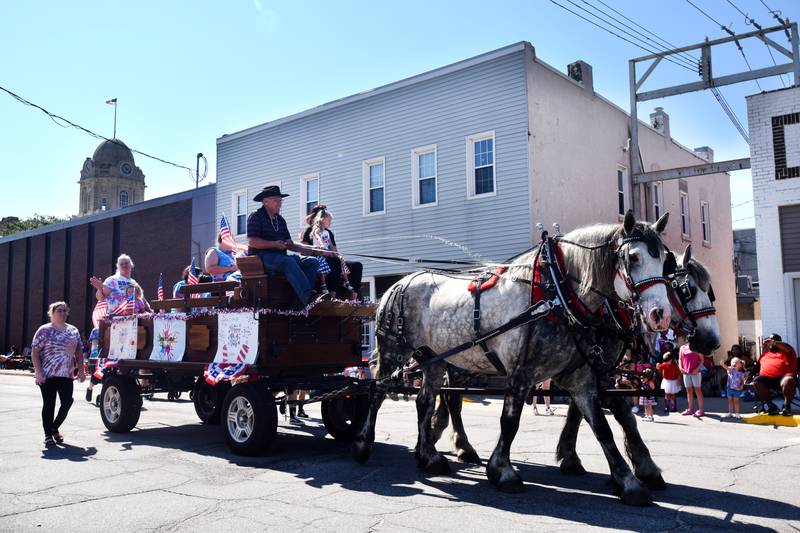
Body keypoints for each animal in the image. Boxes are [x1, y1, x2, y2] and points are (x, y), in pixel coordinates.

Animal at [354, 211, 672, 502]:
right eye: (633, 257)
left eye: (665, 261)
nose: (661, 314)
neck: (555, 294)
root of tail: (397, 284)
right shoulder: (522, 373)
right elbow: (510, 421)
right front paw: (503, 471)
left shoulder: (582, 377)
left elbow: (602, 426)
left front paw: (629, 480)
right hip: (394, 351)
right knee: (378, 392)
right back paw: (363, 445)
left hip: (434, 358)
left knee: (425, 401)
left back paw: (429, 456)